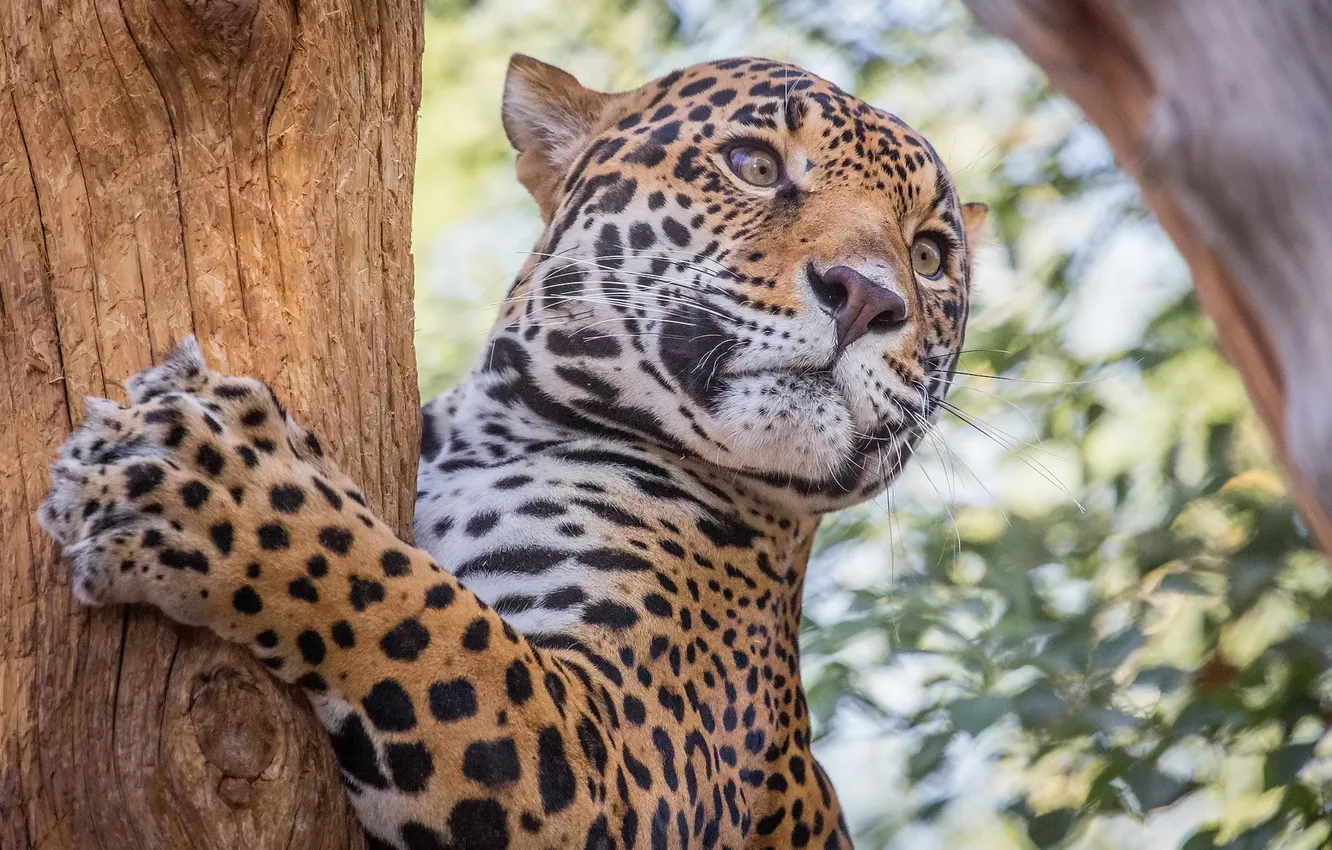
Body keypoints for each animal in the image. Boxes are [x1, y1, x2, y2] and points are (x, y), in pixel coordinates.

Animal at [40, 54, 987, 850]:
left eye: (929, 257)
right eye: (754, 165)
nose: (866, 297)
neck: (486, 434)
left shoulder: (622, 777)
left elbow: (413, 606)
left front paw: (201, 479)